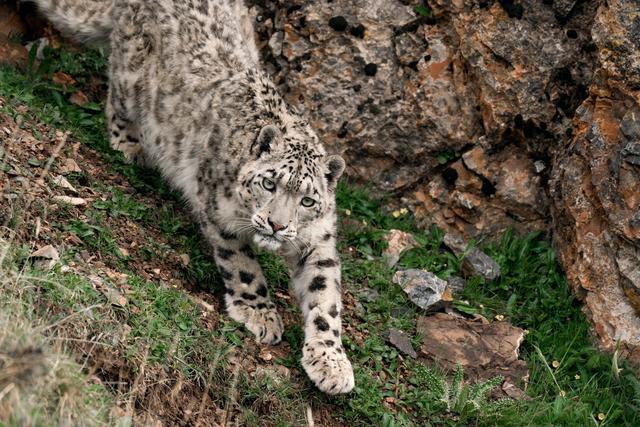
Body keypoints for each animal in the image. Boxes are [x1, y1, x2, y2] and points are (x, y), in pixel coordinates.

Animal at [33, 0, 356, 394]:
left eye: (307, 201)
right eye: (269, 184)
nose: (277, 226)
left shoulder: (318, 242)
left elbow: (325, 297)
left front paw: (331, 363)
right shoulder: (220, 212)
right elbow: (242, 266)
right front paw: (259, 314)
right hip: (131, 78)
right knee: (116, 99)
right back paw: (130, 146)